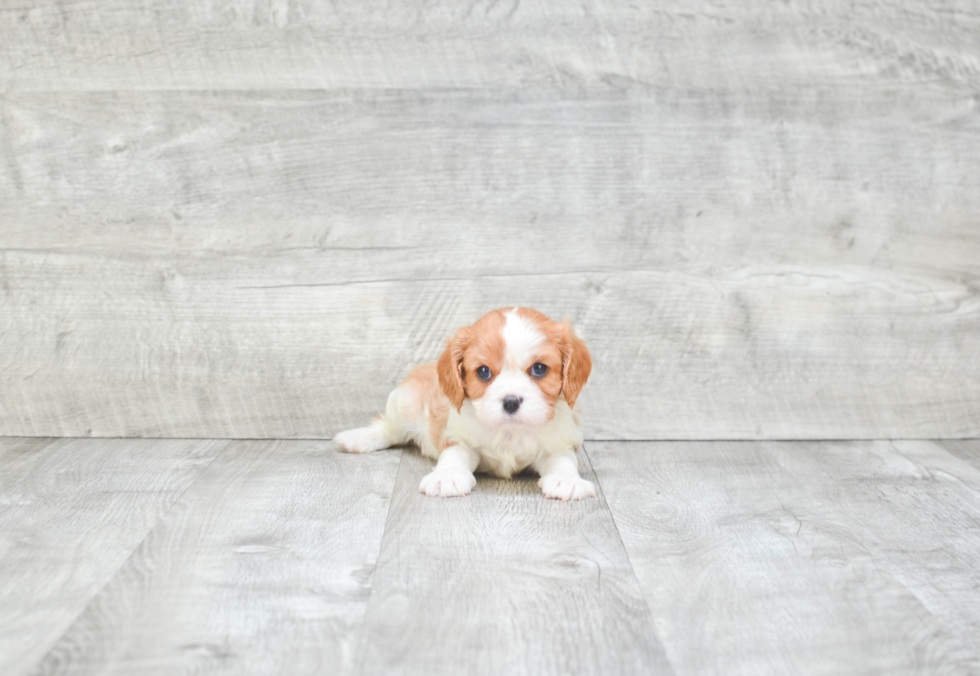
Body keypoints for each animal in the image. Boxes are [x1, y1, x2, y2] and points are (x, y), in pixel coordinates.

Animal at [336, 308, 592, 500]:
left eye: (539, 368)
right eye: (483, 371)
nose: (510, 401)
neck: (511, 432)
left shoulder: (561, 442)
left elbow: (563, 460)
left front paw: (567, 479)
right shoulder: (456, 436)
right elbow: (454, 454)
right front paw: (447, 476)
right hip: (404, 403)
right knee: (387, 427)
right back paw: (358, 438)